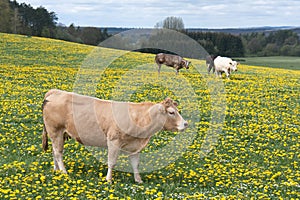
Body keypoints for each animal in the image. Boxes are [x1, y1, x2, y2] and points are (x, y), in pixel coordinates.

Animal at [42, 89, 188, 183]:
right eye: (171, 112)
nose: (185, 124)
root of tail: (55, 92)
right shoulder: (113, 141)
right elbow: (111, 162)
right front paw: (109, 179)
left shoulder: (135, 146)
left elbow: (135, 164)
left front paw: (138, 180)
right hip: (55, 130)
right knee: (58, 152)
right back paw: (64, 171)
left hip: (57, 134)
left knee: (54, 151)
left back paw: (56, 170)